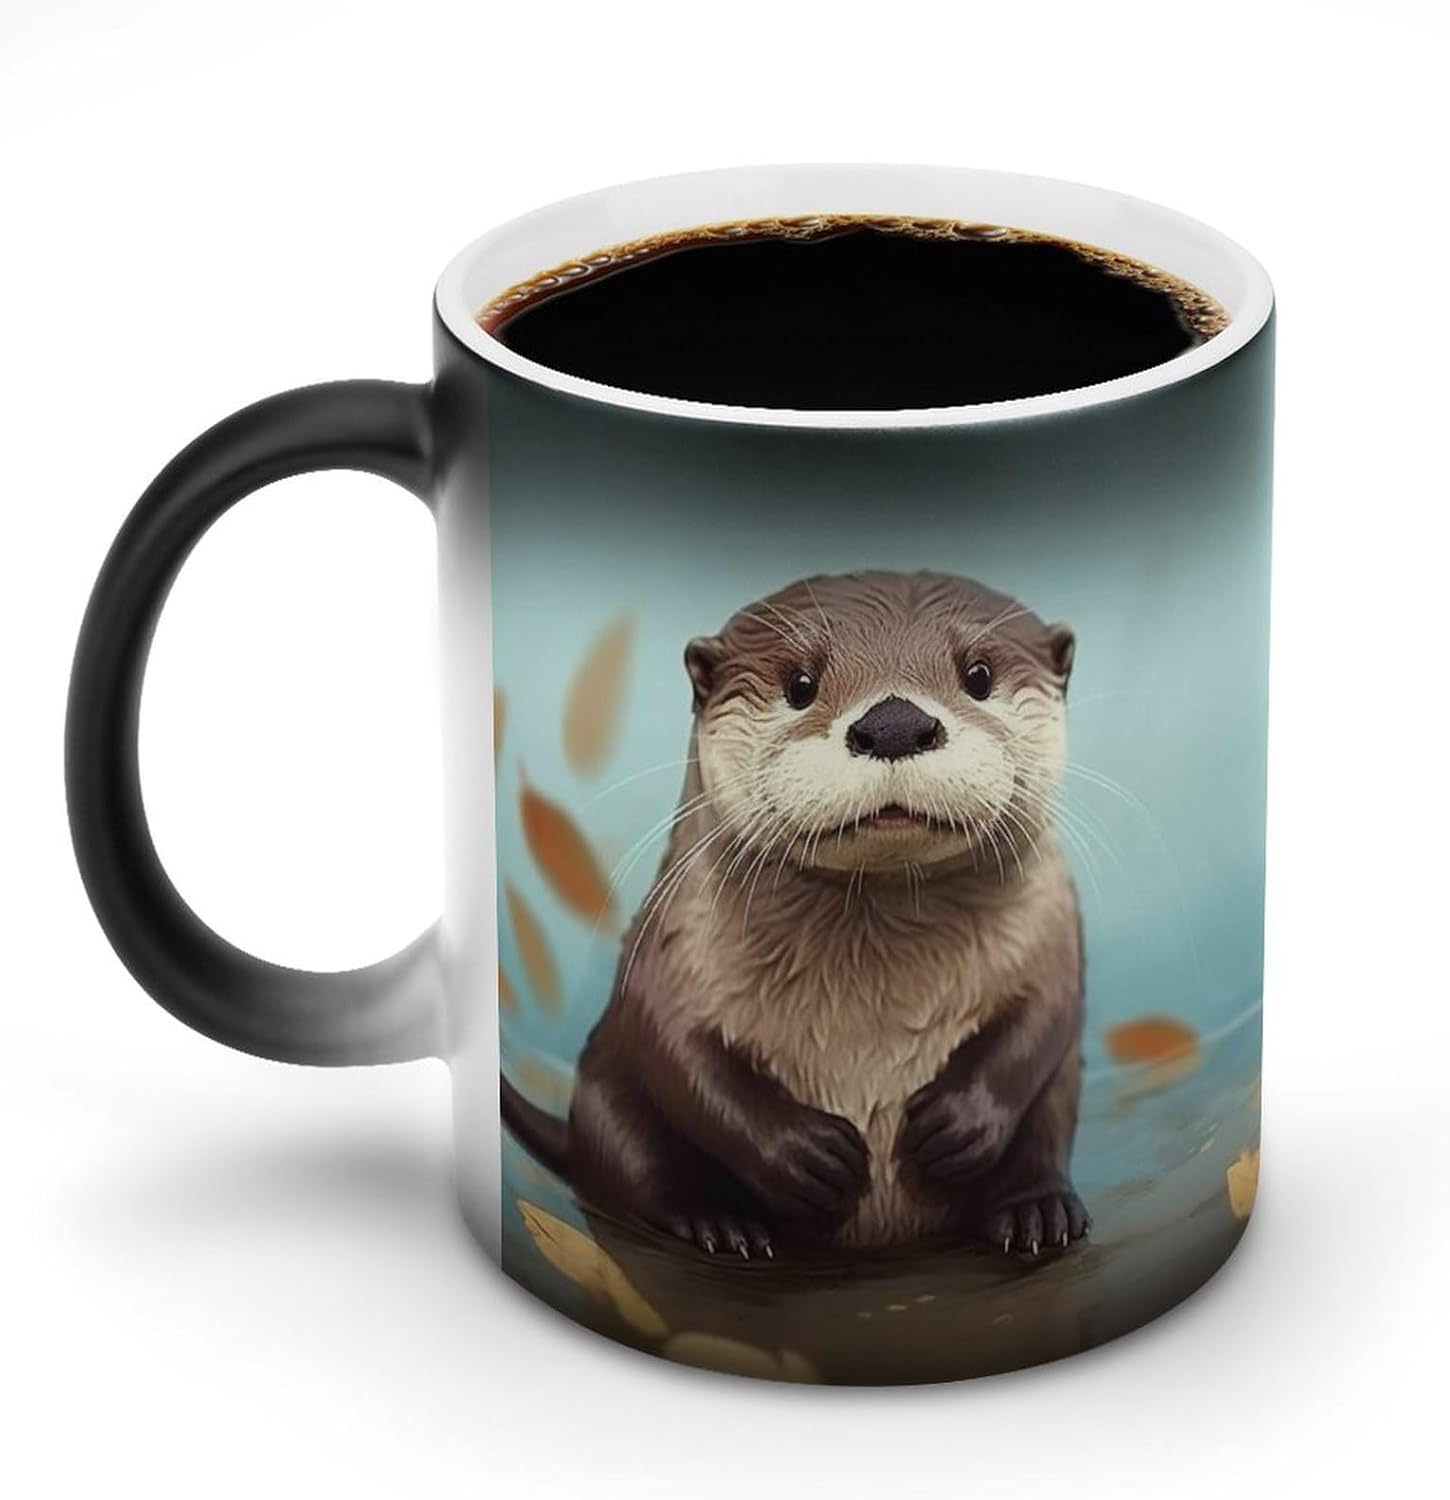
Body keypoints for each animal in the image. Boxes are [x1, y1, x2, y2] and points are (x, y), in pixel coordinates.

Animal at [502, 570, 1088, 1260]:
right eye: (800, 684)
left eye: (978, 674)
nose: (894, 724)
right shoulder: (672, 943)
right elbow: (677, 1050)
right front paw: (805, 1156)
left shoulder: (1053, 926)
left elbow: (1045, 1019)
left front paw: (957, 1123)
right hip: (607, 1097)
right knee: (642, 1171)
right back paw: (717, 1222)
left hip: (1059, 1098)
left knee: (1043, 1130)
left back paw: (1036, 1212)